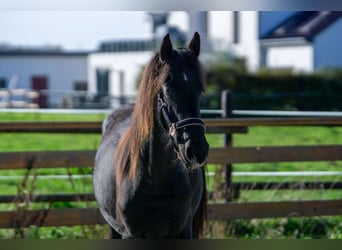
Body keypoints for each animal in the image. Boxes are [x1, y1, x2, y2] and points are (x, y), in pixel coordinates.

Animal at [94, 32, 211, 238]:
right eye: (168, 89)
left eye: (200, 90)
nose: (197, 149)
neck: (155, 179)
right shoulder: (130, 234)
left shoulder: (183, 231)